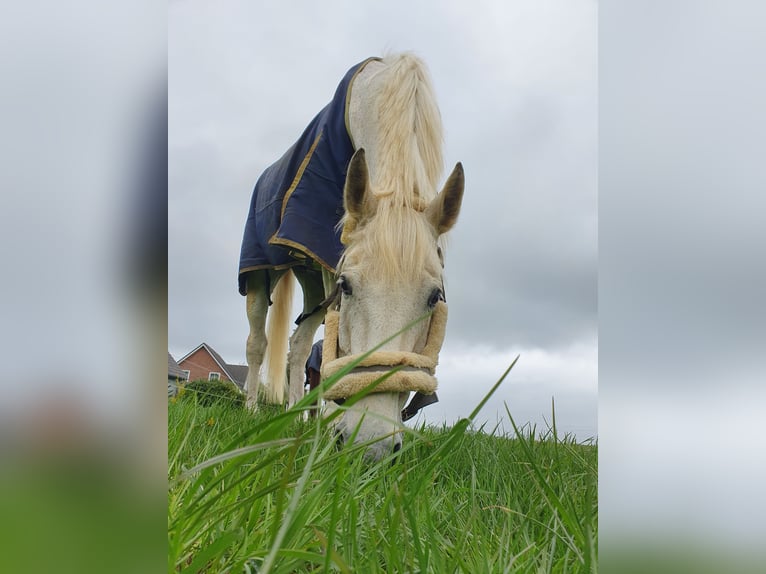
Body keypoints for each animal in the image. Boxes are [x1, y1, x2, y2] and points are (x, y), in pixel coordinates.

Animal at [240, 54, 464, 464]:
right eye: (347, 287)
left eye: (434, 297)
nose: (371, 449)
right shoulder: (331, 260)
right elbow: (332, 351)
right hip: (259, 272)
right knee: (257, 343)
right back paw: (250, 409)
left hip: (311, 284)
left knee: (298, 346)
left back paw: (296, 416)